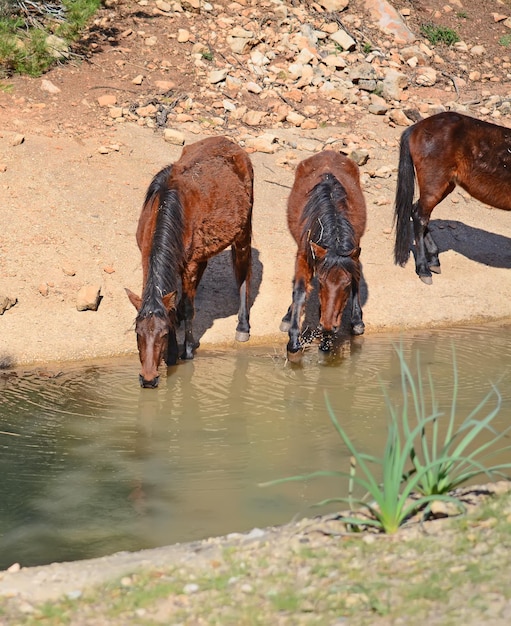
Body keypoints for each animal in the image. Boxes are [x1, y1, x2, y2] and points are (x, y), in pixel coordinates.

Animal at [126, 136, 254, 386]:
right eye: (138, 333)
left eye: (163, 334)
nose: (148, 379)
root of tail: (232, 144)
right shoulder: (146, 256)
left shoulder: (190, 264)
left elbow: (186, 308)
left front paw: (184, 351)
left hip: (243, 232)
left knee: (243, 272)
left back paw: (242, 327)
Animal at [280, 151, 368, 360]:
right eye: (320, 281)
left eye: (345, 285)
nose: (328, 326)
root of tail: (329, 152)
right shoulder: (304, 255)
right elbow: (300, 291)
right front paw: (293, 343)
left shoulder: (353, 253)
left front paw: (327, 342)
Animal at [396, 110, 511, 282]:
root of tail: (417, 127)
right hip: (435, 183)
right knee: (420, 216)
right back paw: (423, 269)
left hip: (446, 185)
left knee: (418, 211)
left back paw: (434, 260)